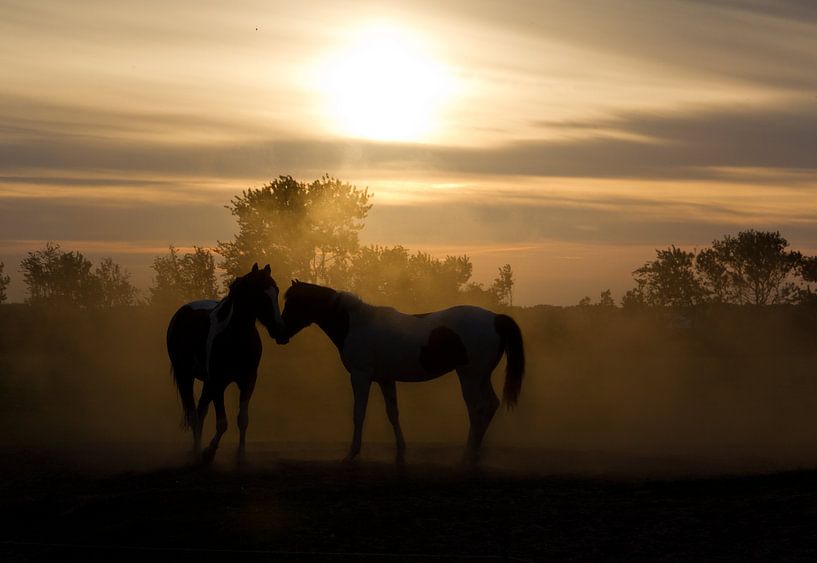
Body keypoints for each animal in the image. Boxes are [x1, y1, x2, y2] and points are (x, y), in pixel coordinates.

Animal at [165, 264, 286, 462]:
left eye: (275, 291)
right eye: (260, 293)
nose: (280, 331)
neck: (235, 336)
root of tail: (181, 313)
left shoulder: (248, 381)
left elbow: (242, 420)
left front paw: (241, 454)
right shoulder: (218, 383)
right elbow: (222, 423)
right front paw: (210, 451)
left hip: (207, 382)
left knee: (201, 410)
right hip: (186, 376)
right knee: (193, 414)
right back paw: (197, 451)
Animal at [280, 280, 524, 464]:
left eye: (293, 302)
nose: (280, 333)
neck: (356, 324)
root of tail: (496, 318)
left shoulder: (360, 376)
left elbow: (359, 414)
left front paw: (351, 454)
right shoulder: (385, 379)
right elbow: (393, 413)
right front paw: (400, 451)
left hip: (469, 376)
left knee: (478, 408)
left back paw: (467, 454)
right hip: (481, 376)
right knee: (490, 405)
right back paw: (475, 453)